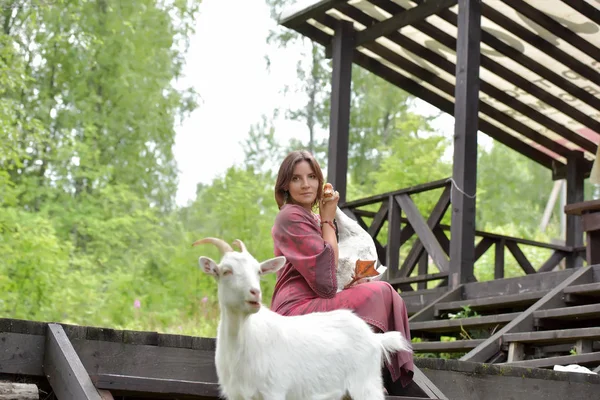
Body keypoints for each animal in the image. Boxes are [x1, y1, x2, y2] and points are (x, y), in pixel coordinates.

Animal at [195, 238, 410, 400]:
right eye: (226, 271)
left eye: (258, 271)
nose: (255, 293)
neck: (244, 339)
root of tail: (374, 338)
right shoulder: (237, 394)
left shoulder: (274, 390)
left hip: (365, 386)